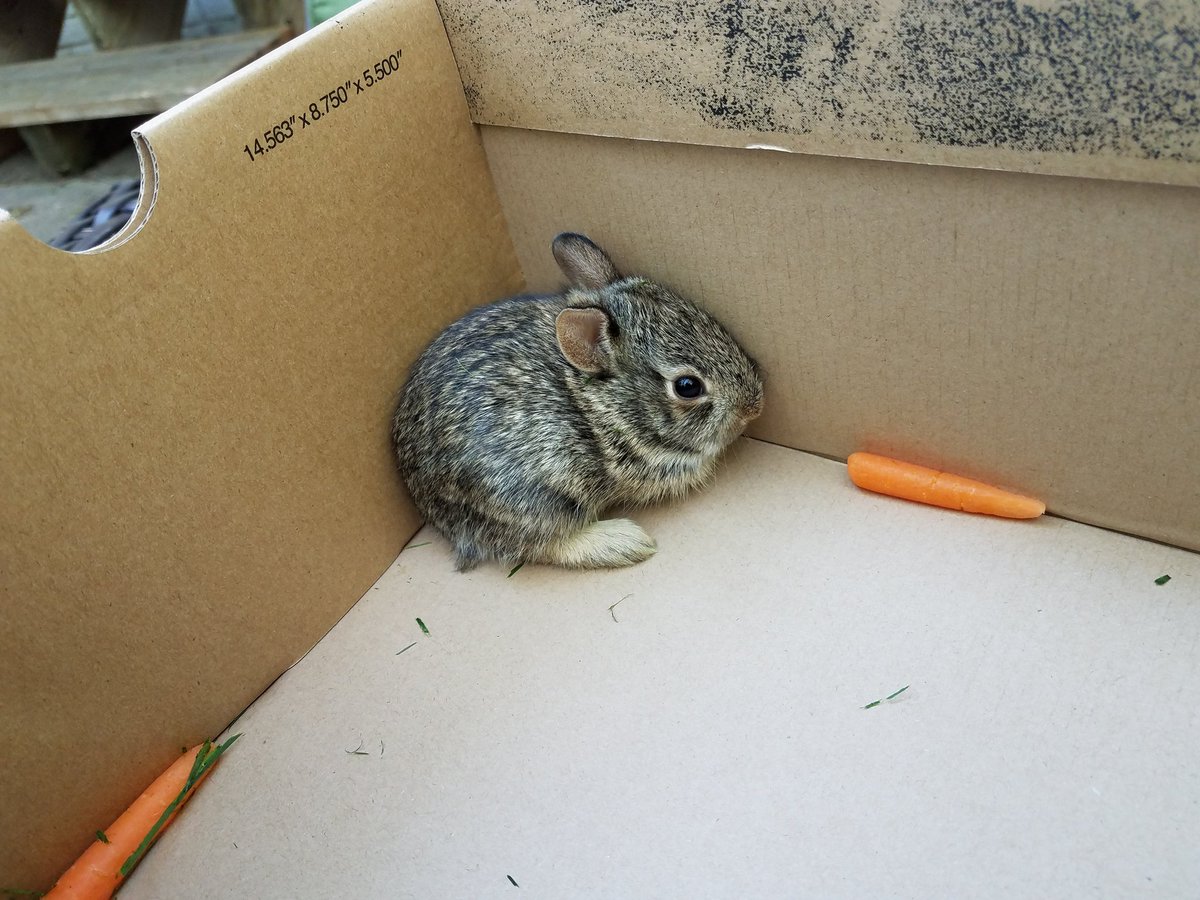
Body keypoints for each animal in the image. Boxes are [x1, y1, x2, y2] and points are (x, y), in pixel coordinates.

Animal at [391, 233, 764, 572]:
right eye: (688, 386)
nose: (754, 407)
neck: (600, 404)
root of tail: (430, 507)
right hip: (539, 498)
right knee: (536, 545)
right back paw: (626, 542)